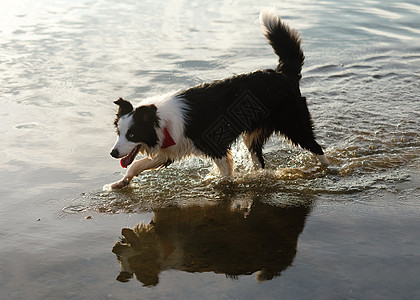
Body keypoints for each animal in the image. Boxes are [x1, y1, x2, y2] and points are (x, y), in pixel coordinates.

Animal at [107, 9, 328, 189]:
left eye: (132, 134)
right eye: (119, 133)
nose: (113, 153)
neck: (160, 120)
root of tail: (283, 74)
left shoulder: (215, 144)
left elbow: (226, 172)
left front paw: (225, 186)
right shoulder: (169, 150)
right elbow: (135, 165)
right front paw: (120, 183)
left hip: (294, 125)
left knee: (316, 147)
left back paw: (328, 169)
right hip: (253, 136)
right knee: (260, 161)